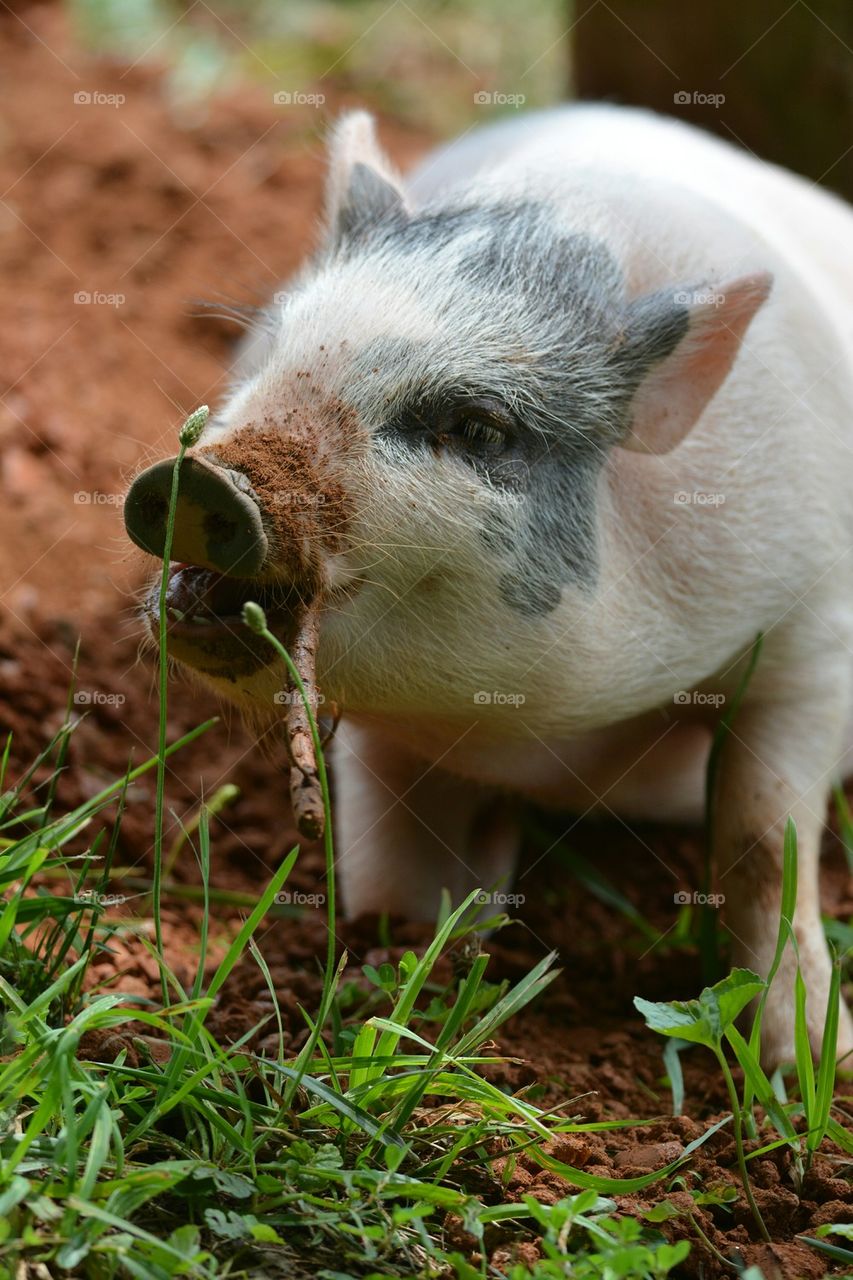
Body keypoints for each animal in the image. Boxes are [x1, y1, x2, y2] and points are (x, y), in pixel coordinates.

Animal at [124, 104, 850, 1070]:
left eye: (476, 428)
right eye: (275, 353)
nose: (203, 480)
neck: (537, 734)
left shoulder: (814, 640)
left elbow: (763, 839)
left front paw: (807, 1061)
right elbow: (390, 858)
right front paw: (400, 959)